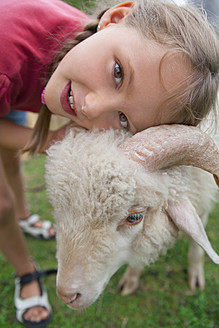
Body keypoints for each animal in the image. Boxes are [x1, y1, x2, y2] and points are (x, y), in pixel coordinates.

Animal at [45, 123, 219, 310]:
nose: (66, 296)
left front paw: (195, 275)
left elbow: (195, 246)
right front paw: (131, 278)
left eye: (135, 217)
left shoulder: (204, 192)